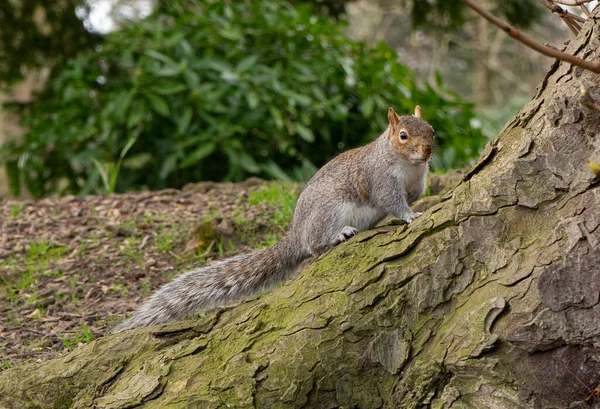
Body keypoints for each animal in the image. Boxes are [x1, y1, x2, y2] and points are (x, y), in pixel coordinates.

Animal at [115, 106, 434, 332]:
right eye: (403, 135)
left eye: (431, 130)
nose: (428, 150)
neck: (407, 164)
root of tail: (296, 232)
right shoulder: (380, 179)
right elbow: (391, 201)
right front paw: (410, 215)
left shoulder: (417, 178)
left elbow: (415, 192)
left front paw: (416, 199)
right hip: (329, 210)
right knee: (314, 244)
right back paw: (338, 235)